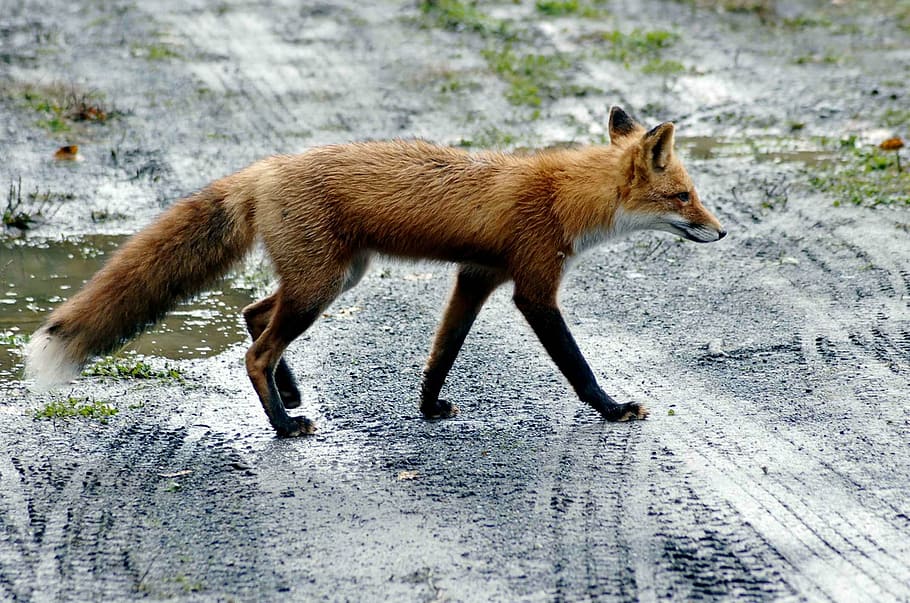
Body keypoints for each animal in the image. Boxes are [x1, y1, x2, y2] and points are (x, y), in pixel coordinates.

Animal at [25, 106, 725, 437]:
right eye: (684, 197)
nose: (723, 232)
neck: (563, 196)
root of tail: (264, 168)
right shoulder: (533, 287)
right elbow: (577, 367)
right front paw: (611, 410)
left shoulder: (475, 276)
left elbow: (443, 351)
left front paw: (428, 407)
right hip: (321, 286)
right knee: (255, 349)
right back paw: (284, 424)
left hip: (335, 278)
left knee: (252, 315)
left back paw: (290, 394)